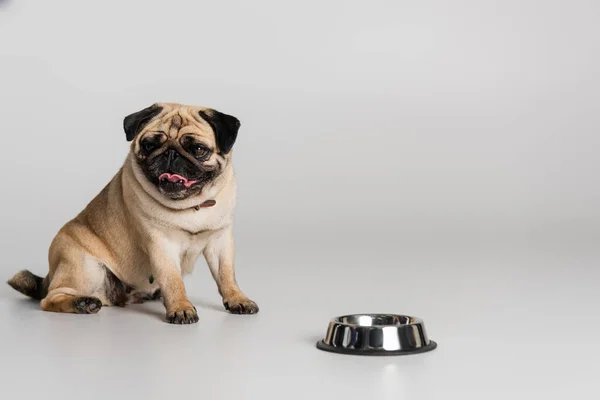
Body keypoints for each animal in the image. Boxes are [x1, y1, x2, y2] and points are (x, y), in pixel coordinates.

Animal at [8, 101, 258, 324]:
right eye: (149, 145)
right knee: (50, 298)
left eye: (197, 149)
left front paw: (237, 299)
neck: (191, 205)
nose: (170, 154)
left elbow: (226, 275)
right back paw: (82, 303)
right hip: (85, 266)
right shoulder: (161, 245)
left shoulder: (220, 242)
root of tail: (51, 274)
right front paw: (181, 308)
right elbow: (173, 281)